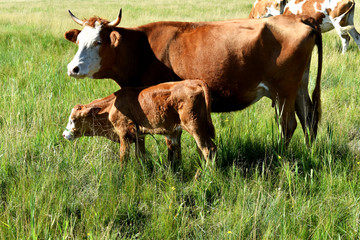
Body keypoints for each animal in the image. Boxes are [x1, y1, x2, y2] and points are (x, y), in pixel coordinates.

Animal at [62, 79, 217, 166]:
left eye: (73, 120)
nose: (64, 134)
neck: (111, 107)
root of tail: (194, 81)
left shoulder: (124, 134)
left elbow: (123, 158)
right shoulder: (139, 136)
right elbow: (141, 157)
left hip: (195, 127)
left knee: (208, 149)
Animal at [65, 9, 324, 145]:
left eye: (98, 42)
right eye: (78, 41)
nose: (73, 68)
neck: (141, 49)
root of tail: (299, 18)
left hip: (283, 90)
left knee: (288, 125)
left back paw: (279, 154)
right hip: (299, 87)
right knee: (309, 120)